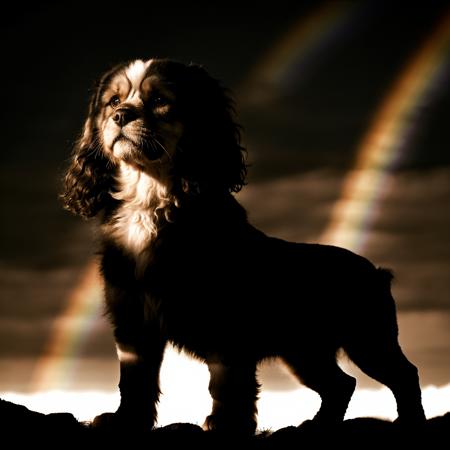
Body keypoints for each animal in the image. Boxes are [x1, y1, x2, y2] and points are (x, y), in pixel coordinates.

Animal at [62, 59, 426, 432]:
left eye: (160, 99)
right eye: (113, 101)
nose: (120, 115)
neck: (149, 200)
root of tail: (376, 271)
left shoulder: (227, 321)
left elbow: (227, 381)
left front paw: (228, 423)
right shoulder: (133, 319)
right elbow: (136, 380)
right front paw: (127, 420)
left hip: (368, 339)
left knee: (404, 374)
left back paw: (411, 421)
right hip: (305, 352)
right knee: (342, 384)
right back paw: (319, 423)